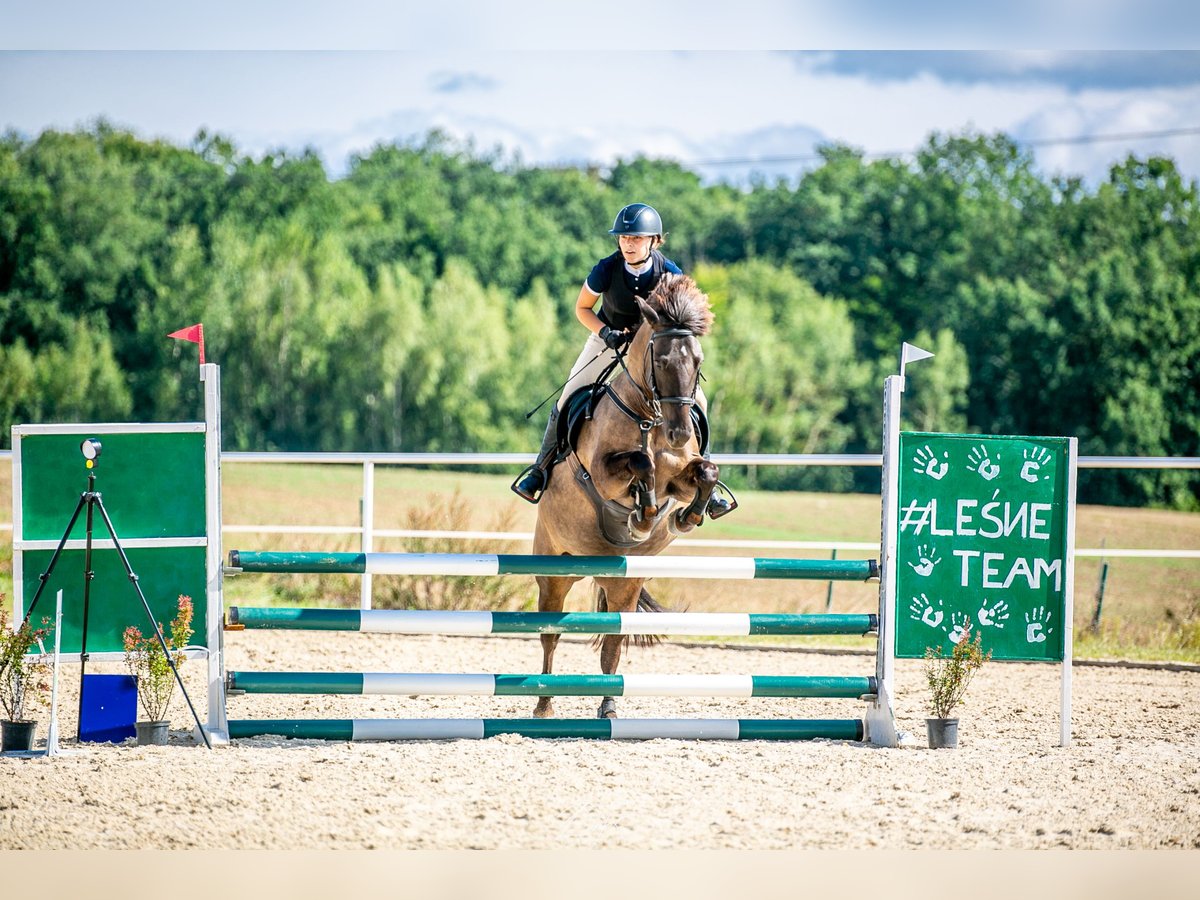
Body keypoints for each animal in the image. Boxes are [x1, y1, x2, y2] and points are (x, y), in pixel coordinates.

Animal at [528, 274, 715, 720]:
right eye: (660, 361)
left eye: (697, 363)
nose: (679, 433)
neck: (648, 417)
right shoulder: (602, 475)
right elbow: (640, 464)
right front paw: (641, 517)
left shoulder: (680, 477)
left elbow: (704, 473)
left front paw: (686, 516)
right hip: (553, 573)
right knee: (550, 634)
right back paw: (543, 704)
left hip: (623, 586)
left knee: (612, 645)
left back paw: (609, 707)